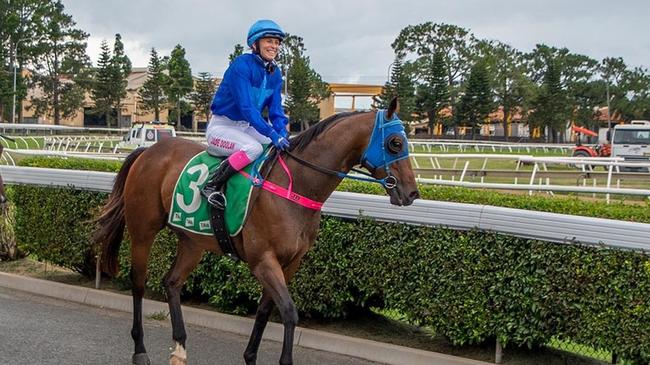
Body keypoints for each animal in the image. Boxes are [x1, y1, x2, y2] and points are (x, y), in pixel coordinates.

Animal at [93, 98, 418, 362]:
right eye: (395, 143)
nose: (411, 192)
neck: (295, 186)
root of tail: (148, 151)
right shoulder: (262, 260)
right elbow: (288, 312)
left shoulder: (290, 262)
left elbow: (266, 309)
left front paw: (250, 356)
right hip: (143, 230)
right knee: (138, 282)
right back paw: (140, 350)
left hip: (192, 242)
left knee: (172, 282)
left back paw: (180, 347)